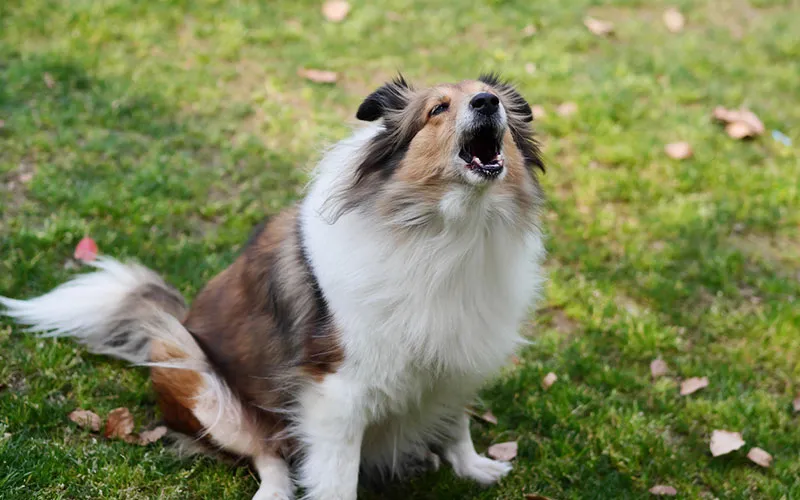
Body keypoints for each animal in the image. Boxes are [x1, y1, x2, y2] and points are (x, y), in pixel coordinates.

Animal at [0, 72, 548, 498]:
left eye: (489, 97)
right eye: (438, 108)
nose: (488, 102)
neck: (448, 230)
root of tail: (174, 319)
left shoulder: (456, 352)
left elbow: (456, 421)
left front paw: (473, 466)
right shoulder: (336, 392)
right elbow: (335, 479)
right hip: (190, 369)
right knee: (267, 454)